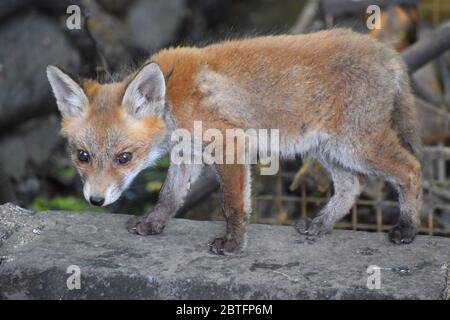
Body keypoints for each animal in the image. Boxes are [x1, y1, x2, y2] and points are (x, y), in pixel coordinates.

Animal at [46, 29, 422, 255]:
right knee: (352, 184)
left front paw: (234, 244)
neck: (174, 102)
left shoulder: (230, 144)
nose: (95, 200)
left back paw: (408, 228)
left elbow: (233, 204)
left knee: (412, 169)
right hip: (327, 149)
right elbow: (169, 196)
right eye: (82, 156)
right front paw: (152, 224)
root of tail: (386, 51)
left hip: (357, 145)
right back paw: (321, 224)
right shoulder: (188, 154)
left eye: (124, 158)